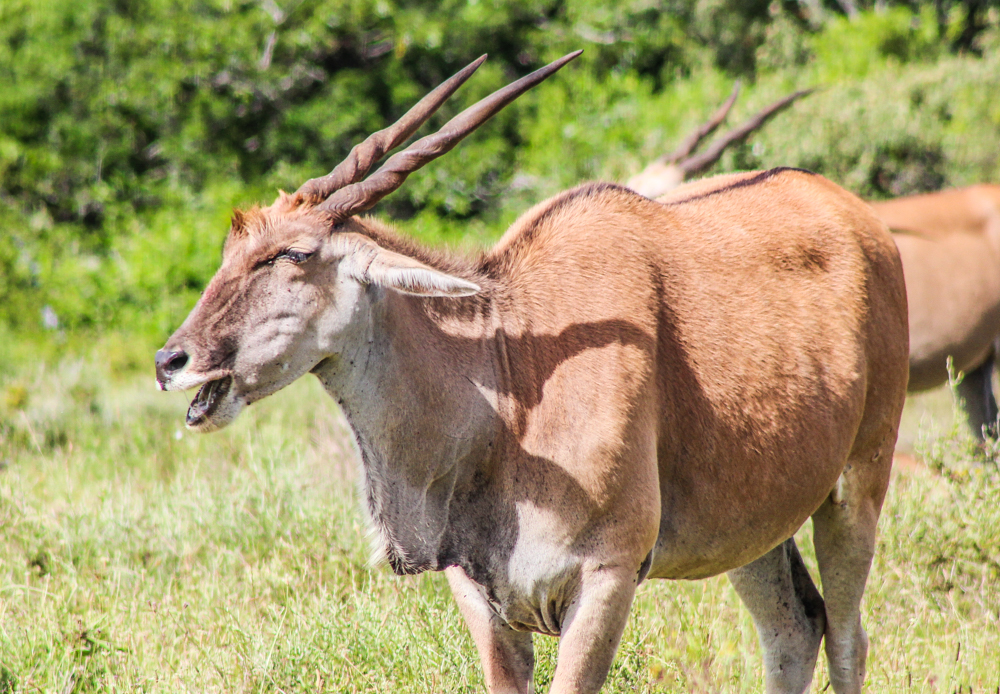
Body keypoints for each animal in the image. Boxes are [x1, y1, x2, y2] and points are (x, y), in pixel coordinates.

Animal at [154, 51, 908, 692]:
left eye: (293, 254)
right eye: (230, 251)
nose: (172, 361)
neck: (512, 386)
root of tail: (861, 219)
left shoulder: (606, 579)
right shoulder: (481, 593)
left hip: (855, 489)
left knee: (847, 636)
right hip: (755, 529)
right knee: (793, 631)